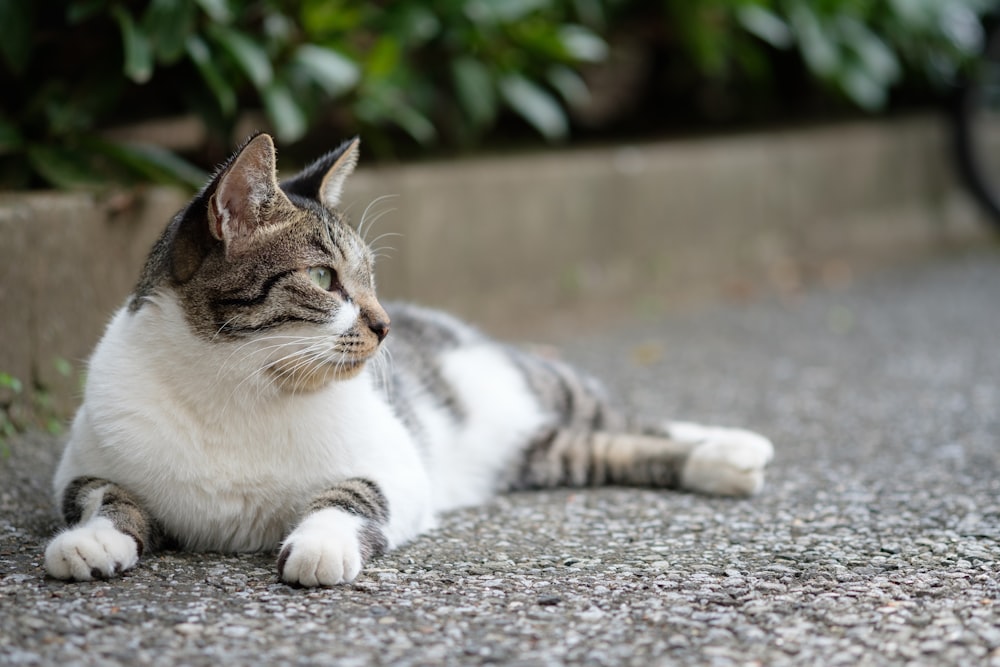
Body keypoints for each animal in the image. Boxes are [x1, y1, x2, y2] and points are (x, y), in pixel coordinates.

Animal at [43, 133, 772, 588]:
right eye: (323, 277)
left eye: (369, 276)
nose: (385, 323)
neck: (237, 387)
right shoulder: (80, 462)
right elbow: (100, 495)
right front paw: (92, 542)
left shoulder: (396, 464)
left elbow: (350, 493)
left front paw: (320, 544)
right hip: (545, 454)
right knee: (609, 444)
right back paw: (726, 461)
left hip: (544, 387)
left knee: (629, 417)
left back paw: (737, 445)